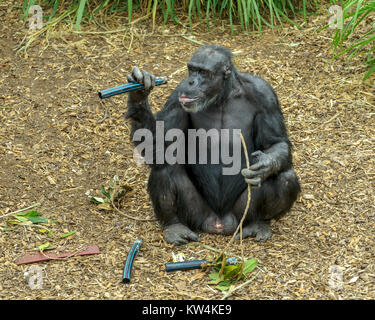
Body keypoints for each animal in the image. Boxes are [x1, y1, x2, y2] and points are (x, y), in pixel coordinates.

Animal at [125, 44, 302, 245]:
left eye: (203, 72)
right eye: (192, 69)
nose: (191, 81)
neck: (223, 96)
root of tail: (219, 223)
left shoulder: (266, 96)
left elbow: (276, 141)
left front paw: (265, 165)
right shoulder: (177, 98)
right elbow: (161, 148)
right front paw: (138, 93)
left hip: (241, 214)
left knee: (286, 177)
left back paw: (258, 223)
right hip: (196, 214)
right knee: (163, 168)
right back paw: (174, 226)